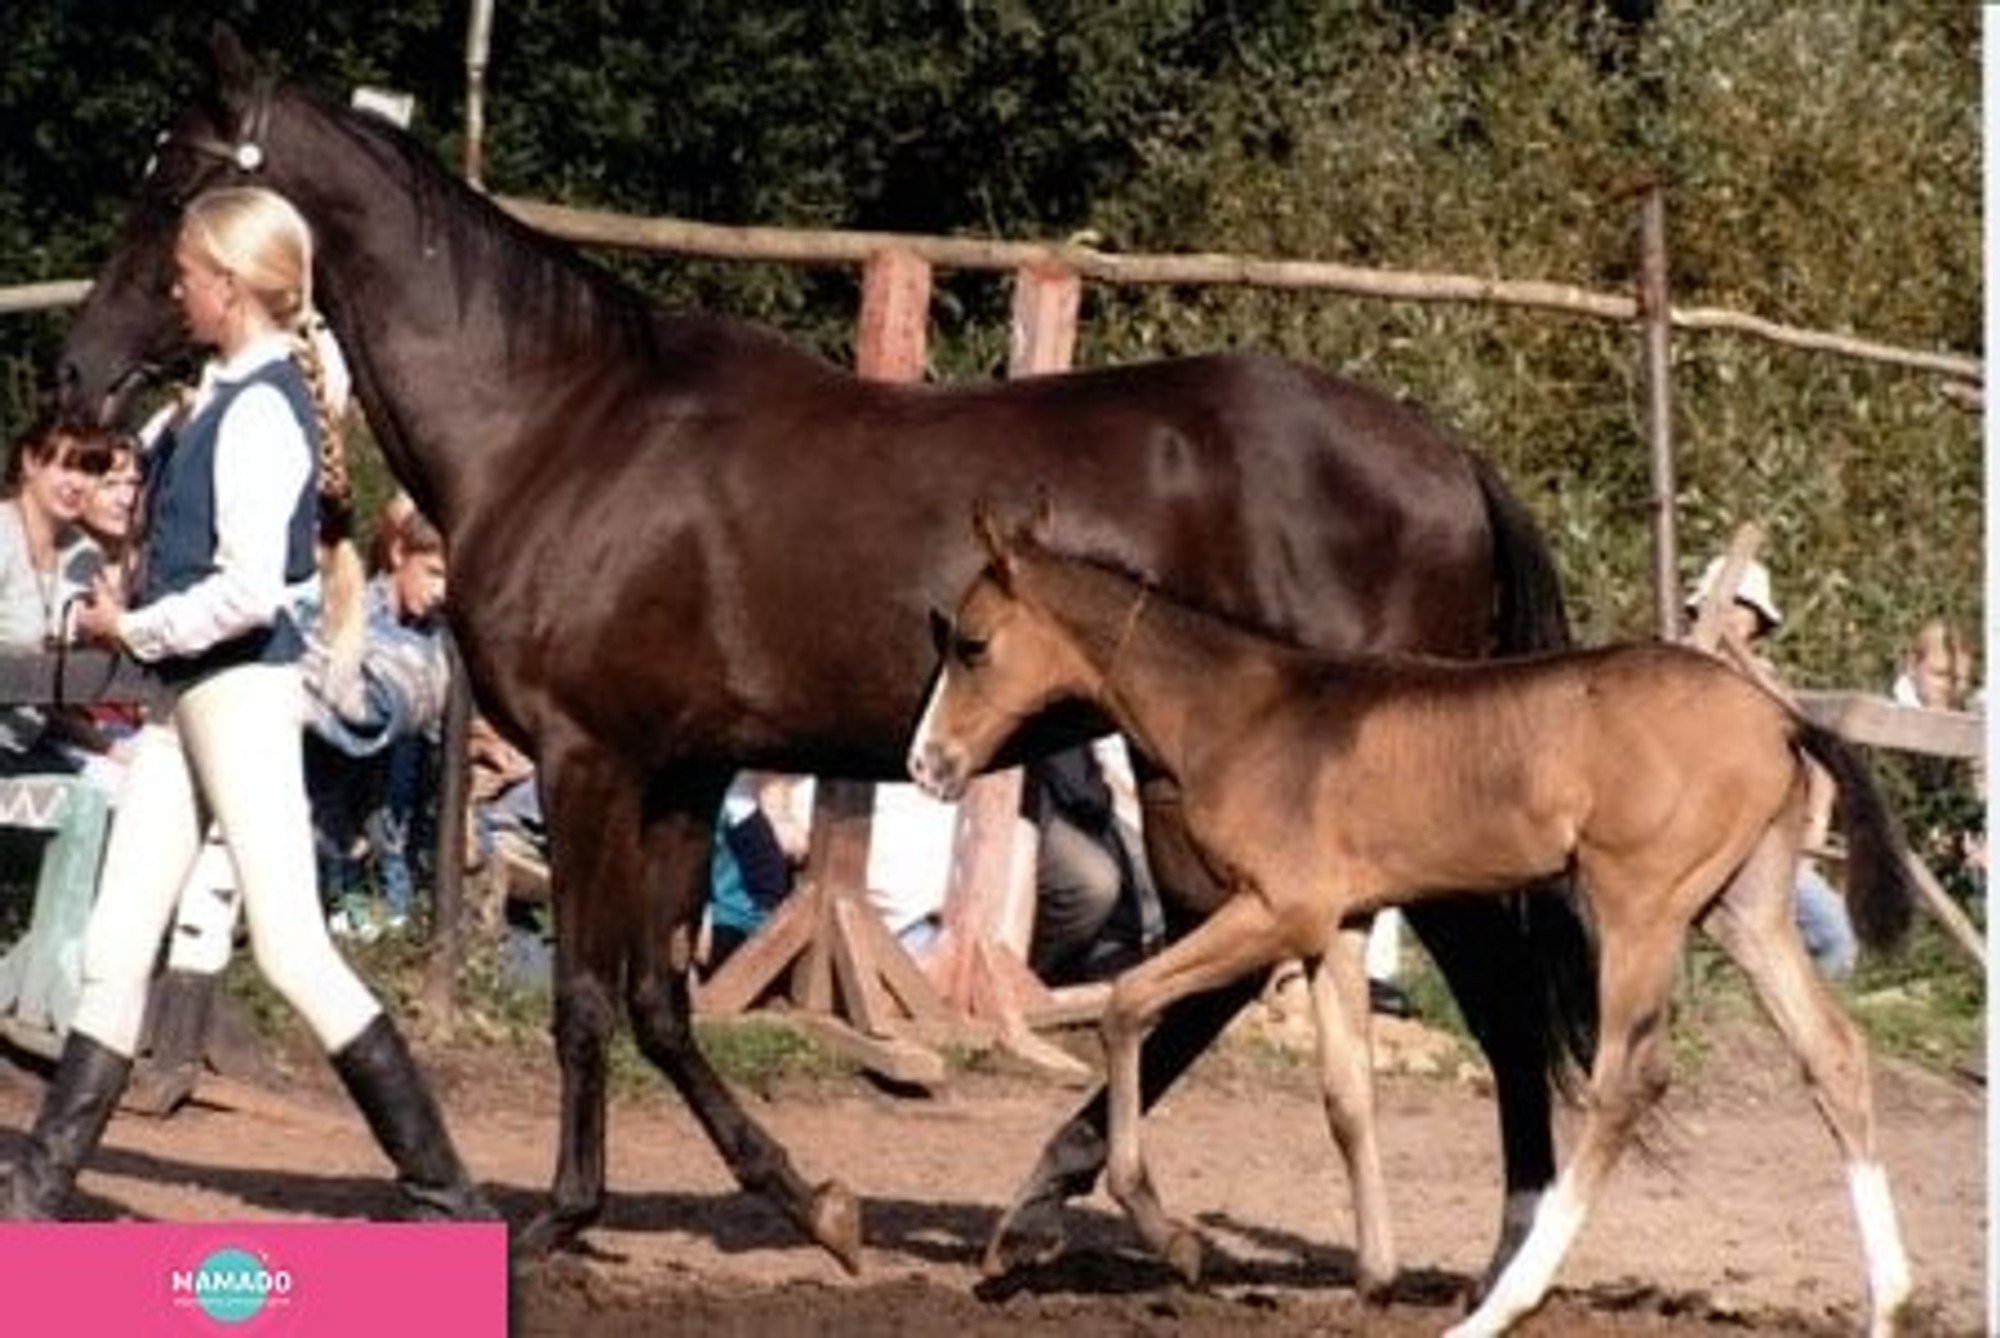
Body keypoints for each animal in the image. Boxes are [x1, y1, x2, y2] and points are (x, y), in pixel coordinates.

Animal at [54, 23, 1592, 1272]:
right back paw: (1067, 1208)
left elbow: (586, 995)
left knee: (1480, 992)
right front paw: (812, 1204)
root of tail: (1444, 459)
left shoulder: (589, 761)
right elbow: (662, 1002)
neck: (561, 425)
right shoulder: (683, 772)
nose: (77, 376)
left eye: (174, 185)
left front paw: (561, 1219)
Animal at [912, 512, 1920, 1336]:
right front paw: (1376, 1275)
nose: (928, 765)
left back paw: (1501, 1306)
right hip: (1744, 908)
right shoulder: (1342, 925)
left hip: (1642, 905)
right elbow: (1346, 1095)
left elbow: (1125, 1001)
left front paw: (1174, 1237)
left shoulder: (1280, 910)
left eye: (971, 645)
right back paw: (1888, 1303)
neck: (1243, 711)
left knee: (1628, 1081)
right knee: (1832, 1054)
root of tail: (1779, 718)